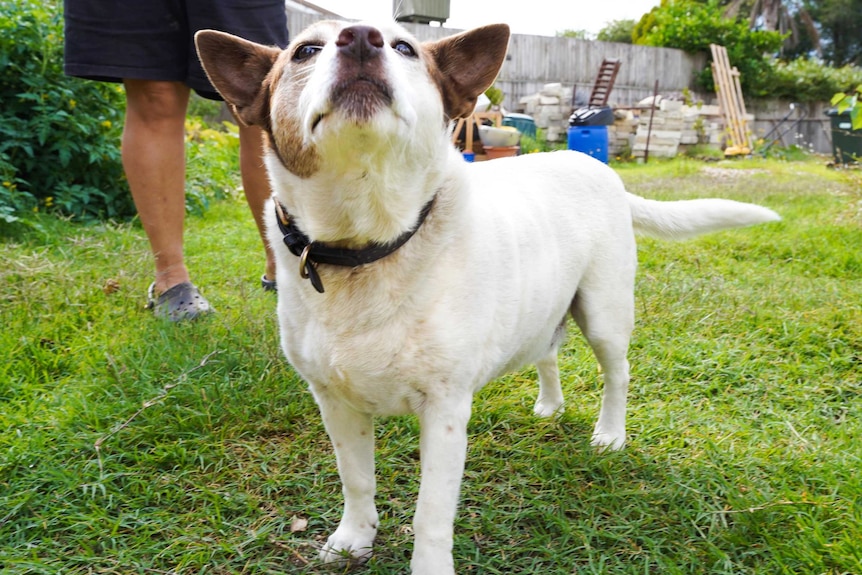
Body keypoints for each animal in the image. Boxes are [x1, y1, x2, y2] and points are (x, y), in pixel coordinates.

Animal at [197, 21, 784, 575]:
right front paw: (353, 539)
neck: (367, 247)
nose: (360, 39)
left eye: (405, 47)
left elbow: (431, 514)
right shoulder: (335, 402)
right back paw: (550, 405)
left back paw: (609, 434)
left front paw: (429, 566)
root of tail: (600, 167)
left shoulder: (445, 410)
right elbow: (356, 480)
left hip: (604, 313)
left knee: (617, 374)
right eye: (305, 51)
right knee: (548, 351)